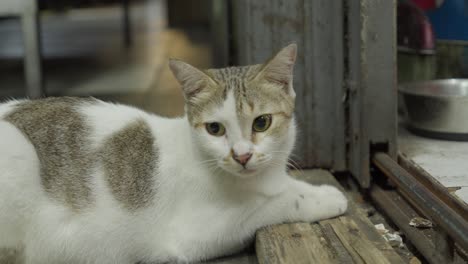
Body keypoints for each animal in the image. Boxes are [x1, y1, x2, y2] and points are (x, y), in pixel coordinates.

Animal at [0, 44, 346, 262]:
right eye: (215, 129)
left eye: (262, 123)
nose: (242, 155)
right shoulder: (200, 233)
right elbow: (275, 202)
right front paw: (325, 198)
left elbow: (287, 187)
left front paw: (316, 189)